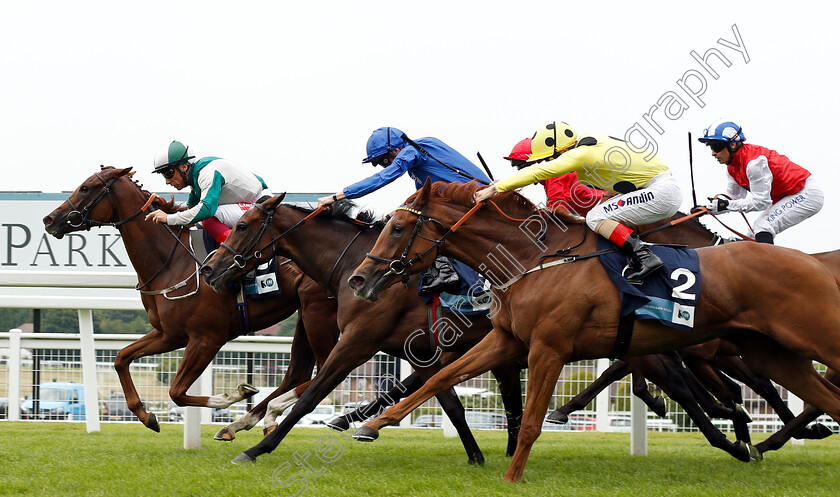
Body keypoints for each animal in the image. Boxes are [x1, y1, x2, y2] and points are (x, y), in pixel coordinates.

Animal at [42, 165, 342, 432]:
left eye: (85, 187)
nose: (49, 220)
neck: (172, 261)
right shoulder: (170, 334)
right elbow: (121, 358)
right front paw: (146, 415)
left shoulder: (206, 338)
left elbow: (176, 392)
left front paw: (232, 396)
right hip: (305, 314)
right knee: (299, 373)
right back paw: (243, 423)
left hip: (317, 313)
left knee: (324, 370)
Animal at [199, 195, 524, 464]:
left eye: (241, 226)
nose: (208, 269)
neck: (353, 263)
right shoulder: (423, 353)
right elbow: (451, 403)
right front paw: (475, 457)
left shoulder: (357, 342)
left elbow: (310, 397)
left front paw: (256, 449)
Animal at [350, 180, 840, 482]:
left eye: (397, 227)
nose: (358, 279)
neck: (534, 258)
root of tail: (816, 263)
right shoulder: (507, 339)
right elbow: (438, 379)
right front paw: (372, 425)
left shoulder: (549, 347)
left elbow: (531, 421)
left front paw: (512, 477)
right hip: (771, 352)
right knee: (820, 397)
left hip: (812, 339)